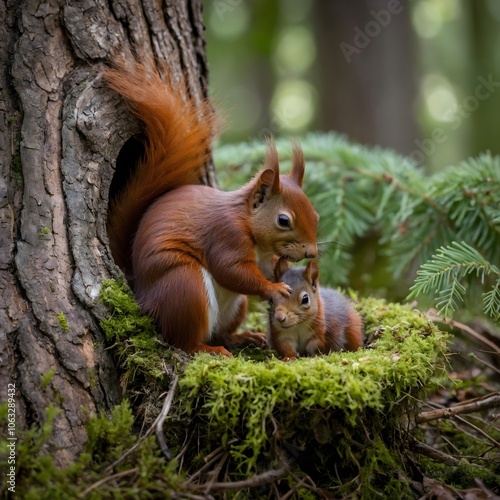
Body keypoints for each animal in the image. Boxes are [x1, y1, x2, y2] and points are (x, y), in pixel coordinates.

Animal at [104, 59, 320, 356]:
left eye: (316, 216)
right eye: (284, 220)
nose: (312, 252)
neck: (249, 226)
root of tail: (141, 292)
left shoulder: (263, 258)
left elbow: (262, 268)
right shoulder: (226, 235)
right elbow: (231, 270)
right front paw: (273, 288)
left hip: (234, 306)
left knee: (221, 333)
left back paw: (243, 337)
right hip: (185, 286)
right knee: (183, 341)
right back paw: (208, 349)